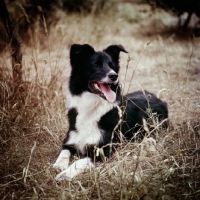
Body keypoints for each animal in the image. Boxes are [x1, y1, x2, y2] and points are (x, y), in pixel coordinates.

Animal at [52, 44, 167, 181]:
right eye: (96, 65)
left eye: (112, 66)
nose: (114, 76)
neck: (92, 106)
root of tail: (159, 99)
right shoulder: (70, 141)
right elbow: (63, 153)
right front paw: (59, 166)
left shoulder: (101, 151)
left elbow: (78, 162)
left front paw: (65, 174)